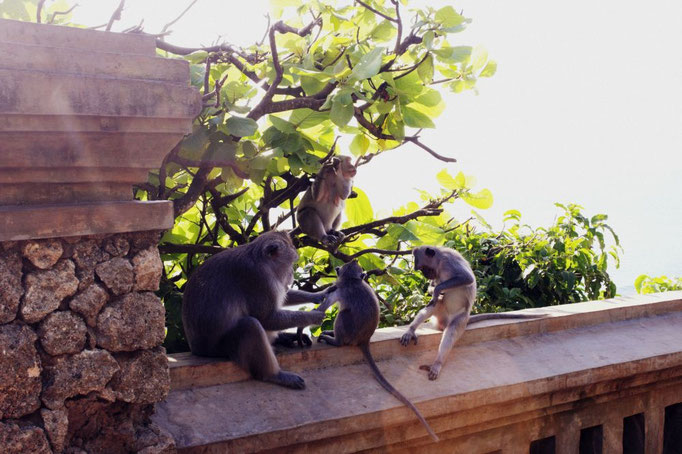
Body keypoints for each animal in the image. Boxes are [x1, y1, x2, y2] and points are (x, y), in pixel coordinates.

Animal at [182, 231, 332, 390]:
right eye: (291, 262)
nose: (292, 274)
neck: (262, 261)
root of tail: (197, 350)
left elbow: (282, 298)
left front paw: (320, 295)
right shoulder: (257, 278)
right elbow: (266, 318)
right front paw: (313, 317)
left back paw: (283, 338)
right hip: (220, 349)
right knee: (250, 325)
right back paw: (274, 375)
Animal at [314, 260, 439, 442]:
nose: (354, 261)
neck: (353, 280)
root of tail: (364, 340)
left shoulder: (339, 289)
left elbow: (322, 309)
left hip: (350, 332)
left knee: (343, 314)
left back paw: (335, 341)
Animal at [400, 245, 547, 381]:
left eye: (424, 268)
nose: (425, 275)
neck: (439, 261)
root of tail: (444, 322)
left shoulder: (449, 261)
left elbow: (467, 278)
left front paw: (436, 290)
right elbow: (433, 290)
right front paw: (433, 290)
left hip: (461, 318)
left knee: (451, 330)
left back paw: (438, 363)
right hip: (441, 312)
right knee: (433, 306)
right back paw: (411, 330)